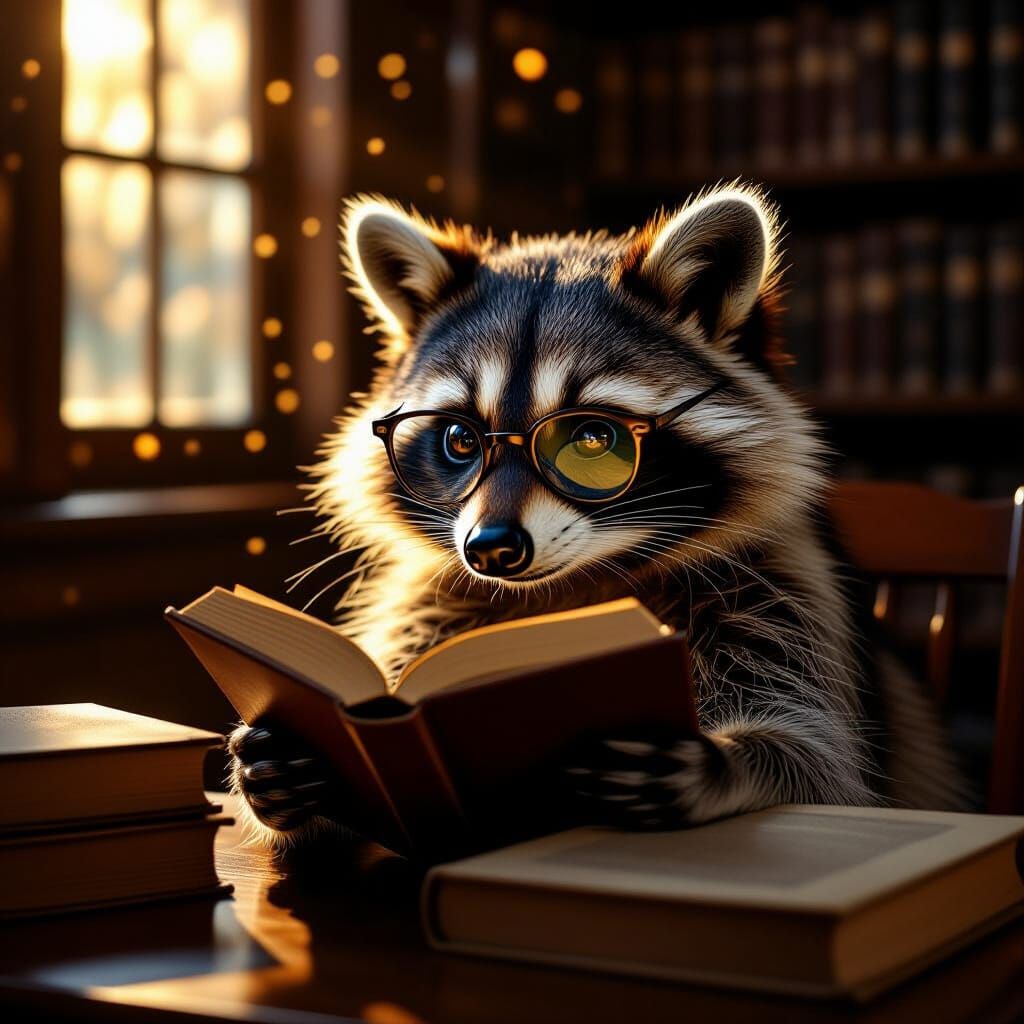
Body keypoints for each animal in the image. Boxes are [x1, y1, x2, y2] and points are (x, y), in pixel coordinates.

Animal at [229, 185, 967, 849]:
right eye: (460, 440)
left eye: (591, 439)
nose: (491, 549)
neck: (580, 584)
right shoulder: (430, 605)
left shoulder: (782, 594)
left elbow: (821, 763)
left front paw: (734, 762)